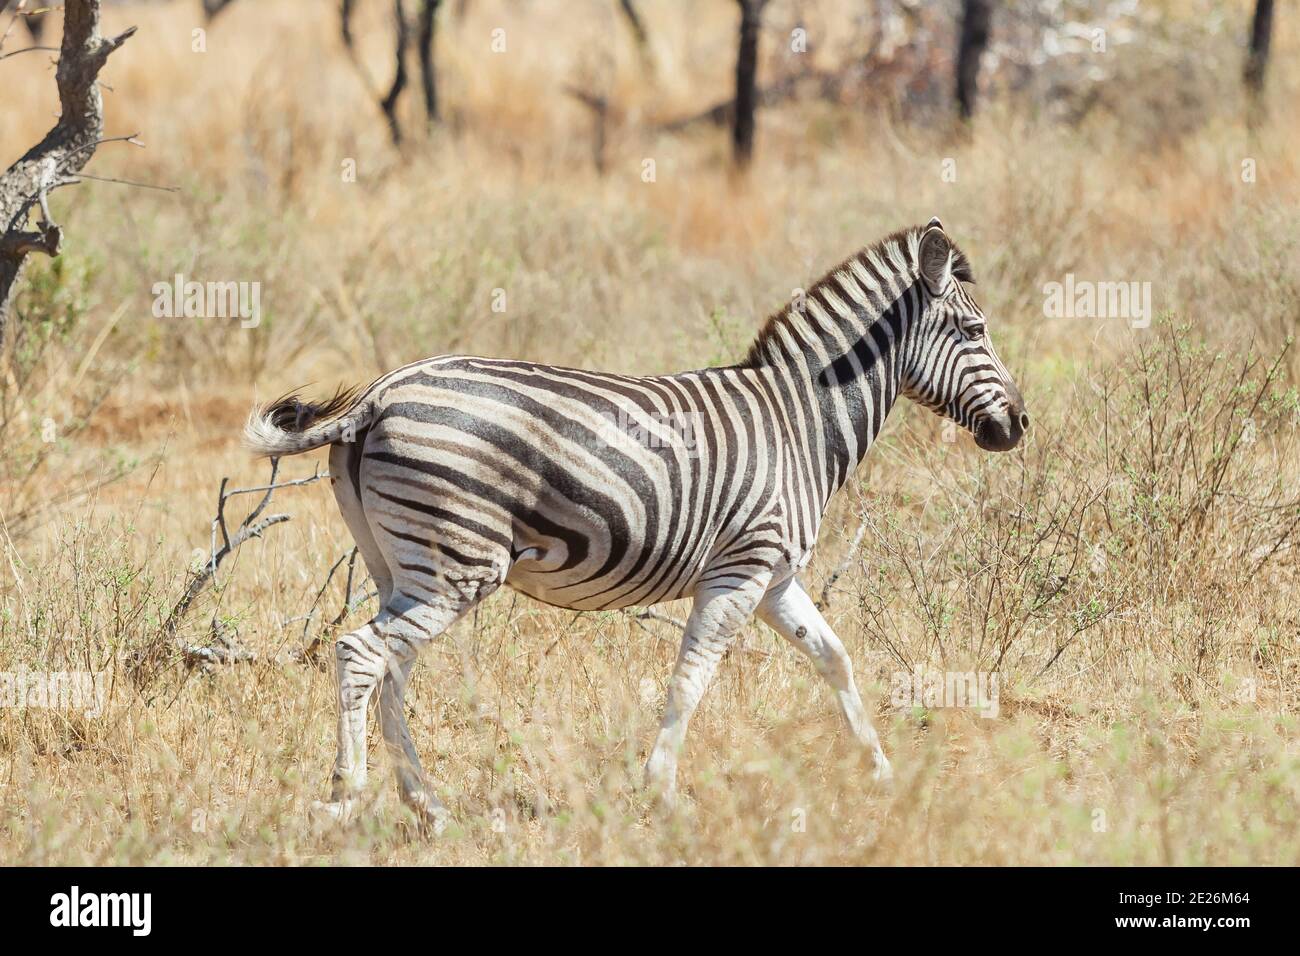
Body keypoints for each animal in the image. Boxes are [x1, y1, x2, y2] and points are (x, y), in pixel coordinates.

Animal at [243, 217, 1028, 828]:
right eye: (975, 329)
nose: (1020, 425)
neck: (800, 419)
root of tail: (378, 395)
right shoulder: (741, 571)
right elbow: (690, 677)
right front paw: (662, 794)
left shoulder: (774, 578)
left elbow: (834, 657)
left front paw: (881, 773)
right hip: (454, 566)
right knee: (360, 655)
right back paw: (350, 795)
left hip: (401, 566)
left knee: (391, 667)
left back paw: (426, 804)